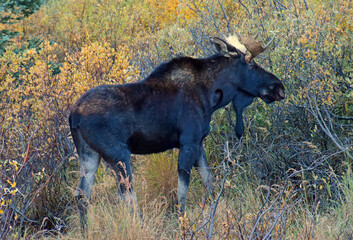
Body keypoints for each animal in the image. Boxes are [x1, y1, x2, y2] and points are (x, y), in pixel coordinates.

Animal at [69, 34, 286, 229]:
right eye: (252, 66)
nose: (279, 88)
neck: (212, 95)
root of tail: (74, 115)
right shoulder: (189, 142)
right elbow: (182, 192)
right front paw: (181, 223)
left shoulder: (199, 144)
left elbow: (209, 183)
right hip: (118, 154)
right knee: (126, 196)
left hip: (89, 154)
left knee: (82, 195)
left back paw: (86, 231)